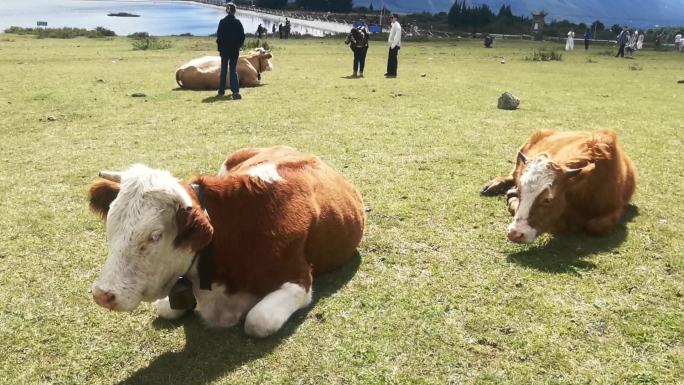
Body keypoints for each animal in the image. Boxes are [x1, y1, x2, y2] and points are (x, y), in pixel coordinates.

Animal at [88, 146, 366, 336]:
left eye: (154, 235)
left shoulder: (299, 279)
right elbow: (165, 308)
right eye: (111, 222)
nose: (102, 294)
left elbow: (258, 321)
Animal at [480, 130, 636, 243]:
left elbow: (596, 226)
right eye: (520, 192)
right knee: (512, 175)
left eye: (548, 199)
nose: (514, 234)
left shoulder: (616, 207)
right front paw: (512, 198)